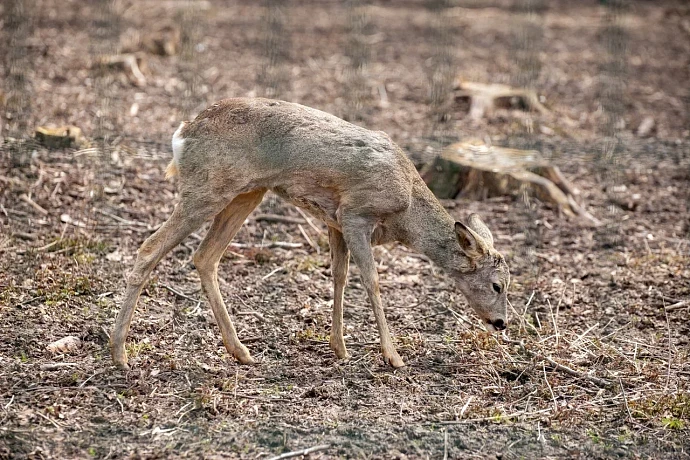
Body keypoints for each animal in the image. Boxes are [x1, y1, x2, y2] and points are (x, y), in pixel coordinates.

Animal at [110, 98, 508, 370]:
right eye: (497, 285)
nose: (502, 323)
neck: (406, 211)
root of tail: (182, 133)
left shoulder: (334, 222)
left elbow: (339, 276)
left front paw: (339, 348)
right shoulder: (355, 213)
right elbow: (372, 281)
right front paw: (392, 356)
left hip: (247, 193)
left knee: (205, 256)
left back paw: (241, 351)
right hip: (207, 189)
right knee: (150, 247)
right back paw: (120, 353)